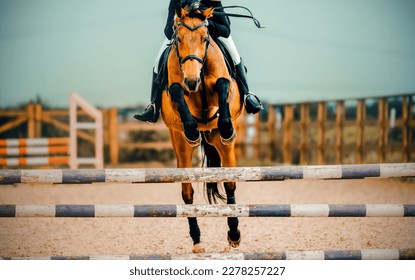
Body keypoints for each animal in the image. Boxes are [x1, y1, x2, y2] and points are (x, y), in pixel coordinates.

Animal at [160, 7, 244, 254]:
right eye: (178, 39)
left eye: (205, 39)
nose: (191, 80)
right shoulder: (177, 92)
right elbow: (176, 90)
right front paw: (191, 129)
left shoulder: (224, 85)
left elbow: (223, 84)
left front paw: (226, 125)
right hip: (180, 147)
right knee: (187, 193)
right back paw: (197, 241)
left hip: (223, 146)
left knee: (230, 184)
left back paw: (234, 235)